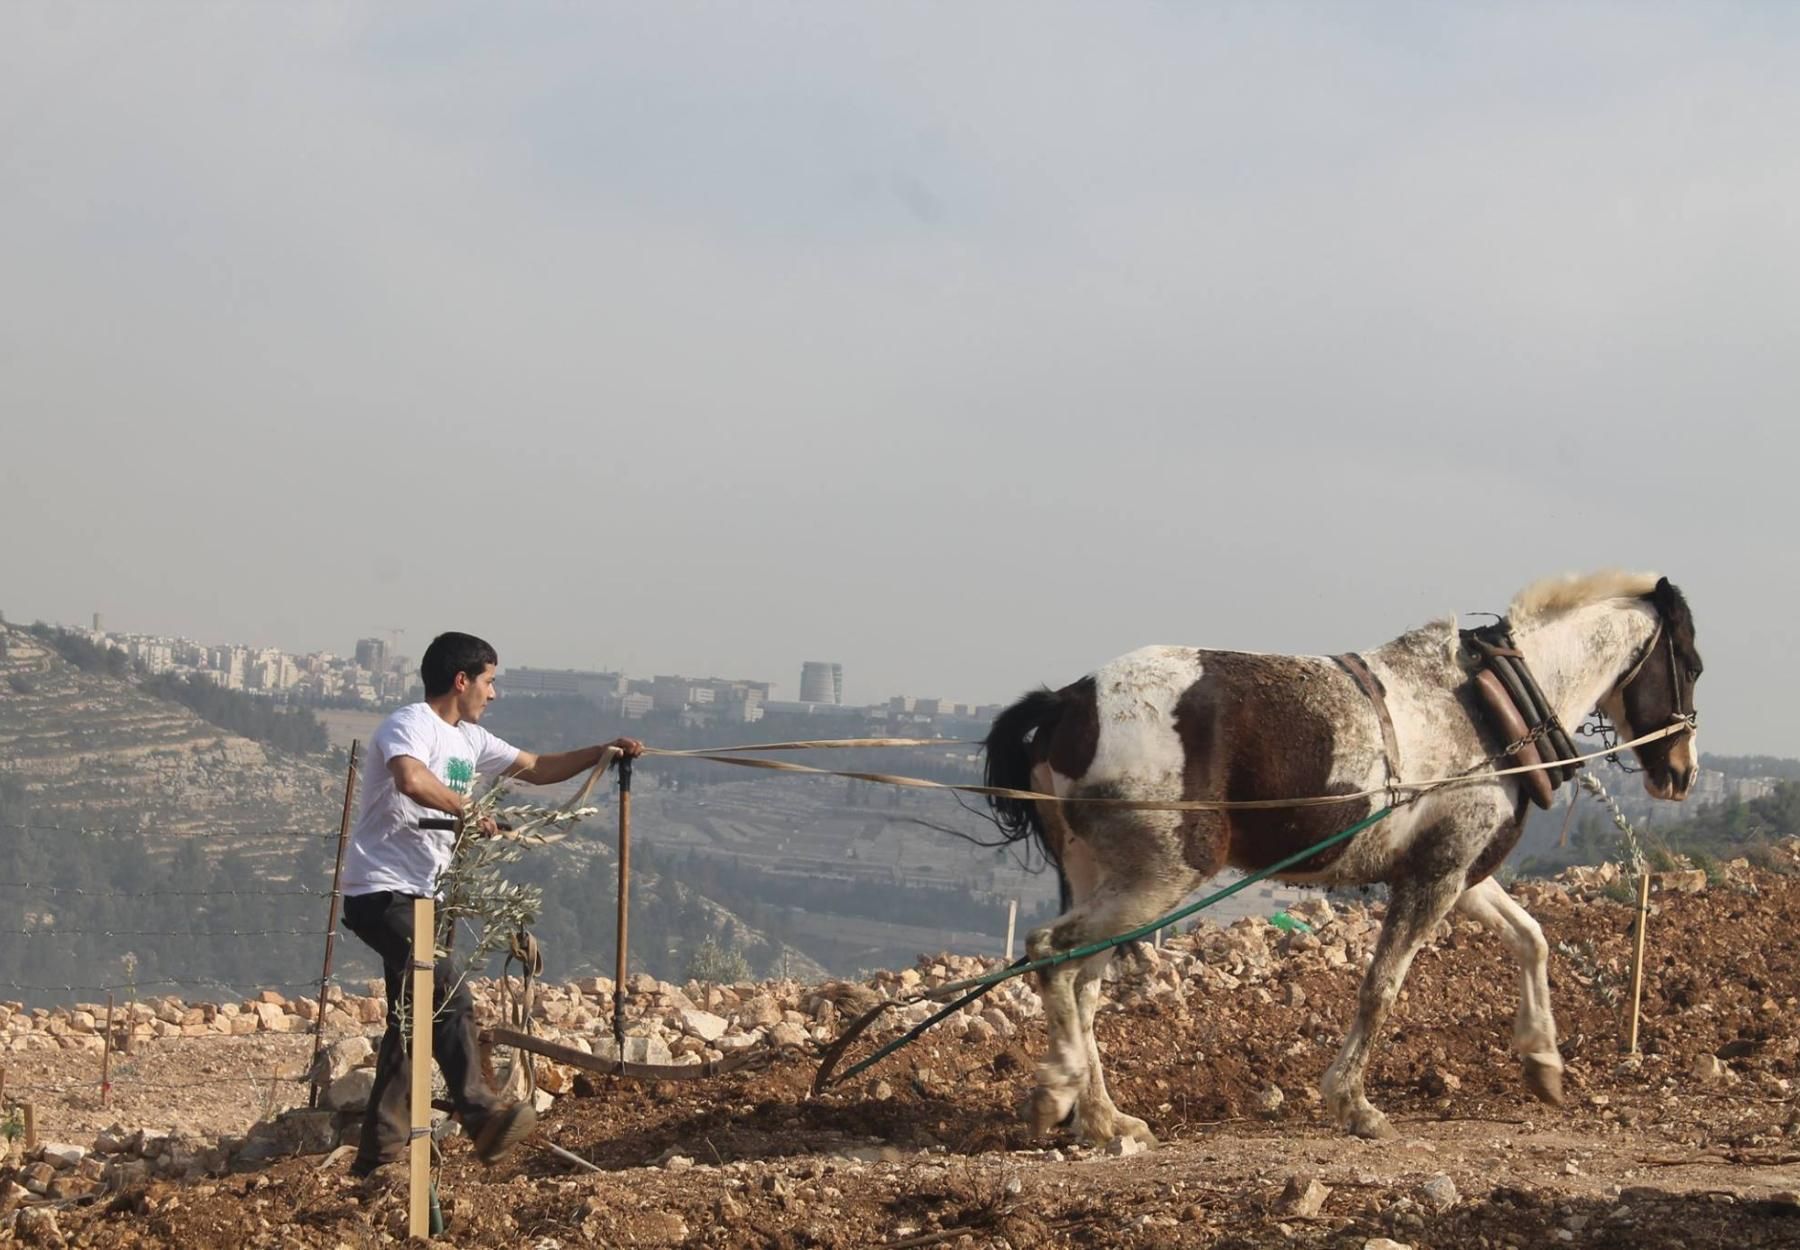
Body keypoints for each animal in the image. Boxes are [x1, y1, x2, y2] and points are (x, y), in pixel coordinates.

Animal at [986, 572, 1699, 1152]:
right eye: (1689, 662)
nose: (1682, 773)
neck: (1490, 708)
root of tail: (1071, 702)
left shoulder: (1457, 870)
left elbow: (1532, 938)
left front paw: (1545, 1063)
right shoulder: (1434, 877)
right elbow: (1381, 987)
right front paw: (1354, 1104)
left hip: (1102, 875)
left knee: (1081, 983)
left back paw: (1103, 1119)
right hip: (1159, 875)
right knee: (1051, 953)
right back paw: (1056, 1091)